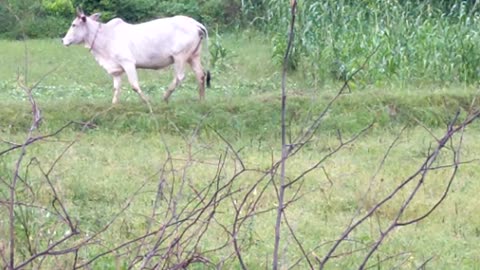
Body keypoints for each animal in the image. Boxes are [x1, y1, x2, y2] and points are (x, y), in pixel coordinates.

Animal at [62, 8, 210, 112]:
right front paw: (113, 107)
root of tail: (195, 24)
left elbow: (134, 85)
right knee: (200, 75)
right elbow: (116, 88)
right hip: (193, 56)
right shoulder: (116, 70)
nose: (63, 40)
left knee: (179, 77)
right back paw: (202, 101)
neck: (106, 36)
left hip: (180, 57)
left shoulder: (128, 63)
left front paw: (148, 103)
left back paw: (165, 97)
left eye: (74, 25)